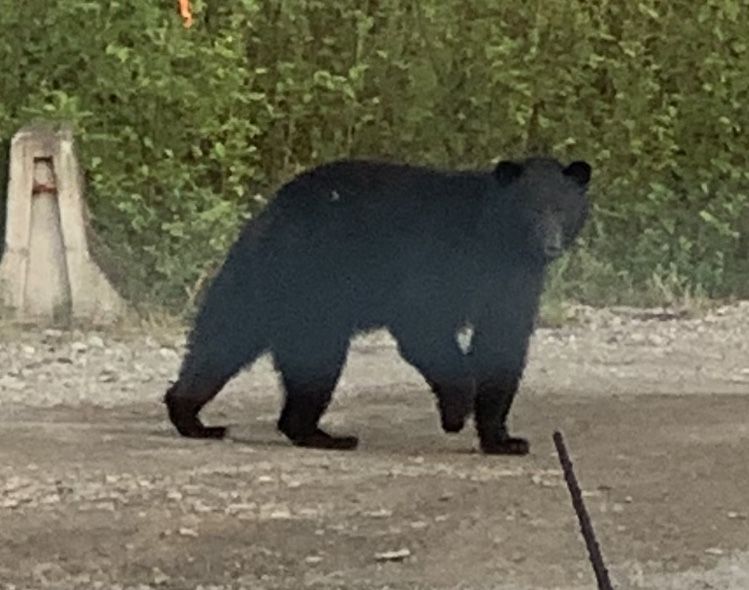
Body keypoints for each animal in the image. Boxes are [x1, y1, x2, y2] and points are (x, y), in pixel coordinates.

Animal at [164, 155, 592, 456]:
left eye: (562, 208)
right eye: (533, 209)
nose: (550, 245)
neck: (497, 240)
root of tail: (272, 210)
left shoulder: (514, 281)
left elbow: (503, 343)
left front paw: (504, 439)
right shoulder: (438, 257)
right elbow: (424, 322)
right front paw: (456, 412)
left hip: (272, 288)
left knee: (224, 341)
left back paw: (201, 416)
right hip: (307, 279)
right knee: (291, 352)